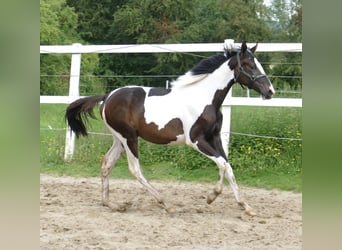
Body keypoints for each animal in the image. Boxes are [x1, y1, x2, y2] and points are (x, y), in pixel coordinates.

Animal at [65, 40, 276, 215]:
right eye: (249, 65)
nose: (270, 91)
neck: (205, 98)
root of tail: (107, 97)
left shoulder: (214, 137)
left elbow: (227, 166)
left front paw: (246, 206)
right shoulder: (196, 140)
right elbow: (223, 164)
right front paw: (211, 197)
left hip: (119, 139)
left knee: (106, 164)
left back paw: (113, 205)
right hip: (129, 138)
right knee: (135, 169)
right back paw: (166, 204)